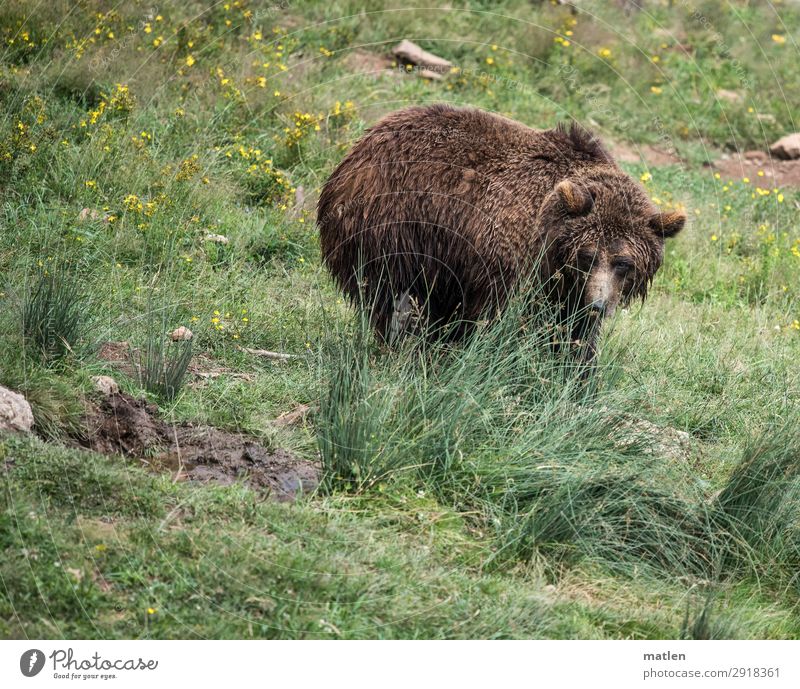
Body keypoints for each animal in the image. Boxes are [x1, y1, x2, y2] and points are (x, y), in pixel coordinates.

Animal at [316, 105, 684, 358]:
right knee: (388, 294)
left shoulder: (568, 289)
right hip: (395, 227)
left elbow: (574, 334)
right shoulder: (508, 260)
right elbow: (502, 319)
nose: (599, 305)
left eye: (624, 263)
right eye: (588, 256)